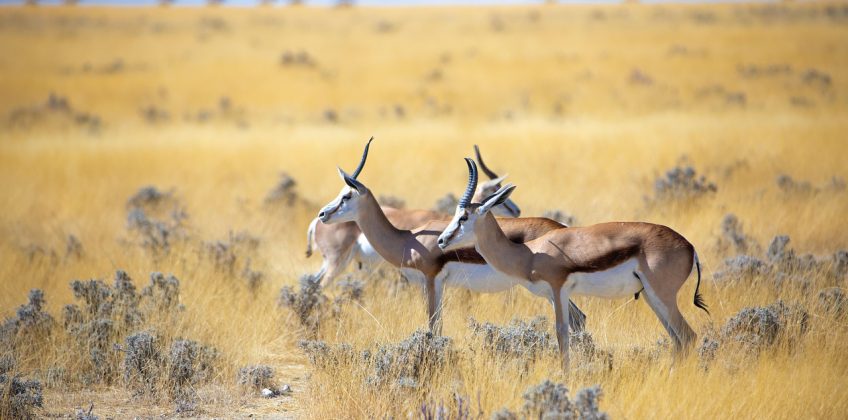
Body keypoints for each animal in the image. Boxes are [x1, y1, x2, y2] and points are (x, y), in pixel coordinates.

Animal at [437, 159, 709, 371]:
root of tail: (690, 247)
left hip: (662, 296)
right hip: (652, 297)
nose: (441, 240)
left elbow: (562, 333)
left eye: (464, 217)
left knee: (688, 336)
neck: (530, 253)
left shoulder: (558, 290)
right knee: (678, 340)